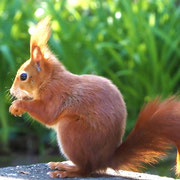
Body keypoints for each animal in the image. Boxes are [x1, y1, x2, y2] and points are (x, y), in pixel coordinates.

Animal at [9, 17, 180, 178]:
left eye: (23, 76)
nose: (11, 91)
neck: (50, 79)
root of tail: (105, 160)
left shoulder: (55, 95)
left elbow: (46, 114)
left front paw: (18, 105)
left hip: (71, 130)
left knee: (86, 169)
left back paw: (68, 171)